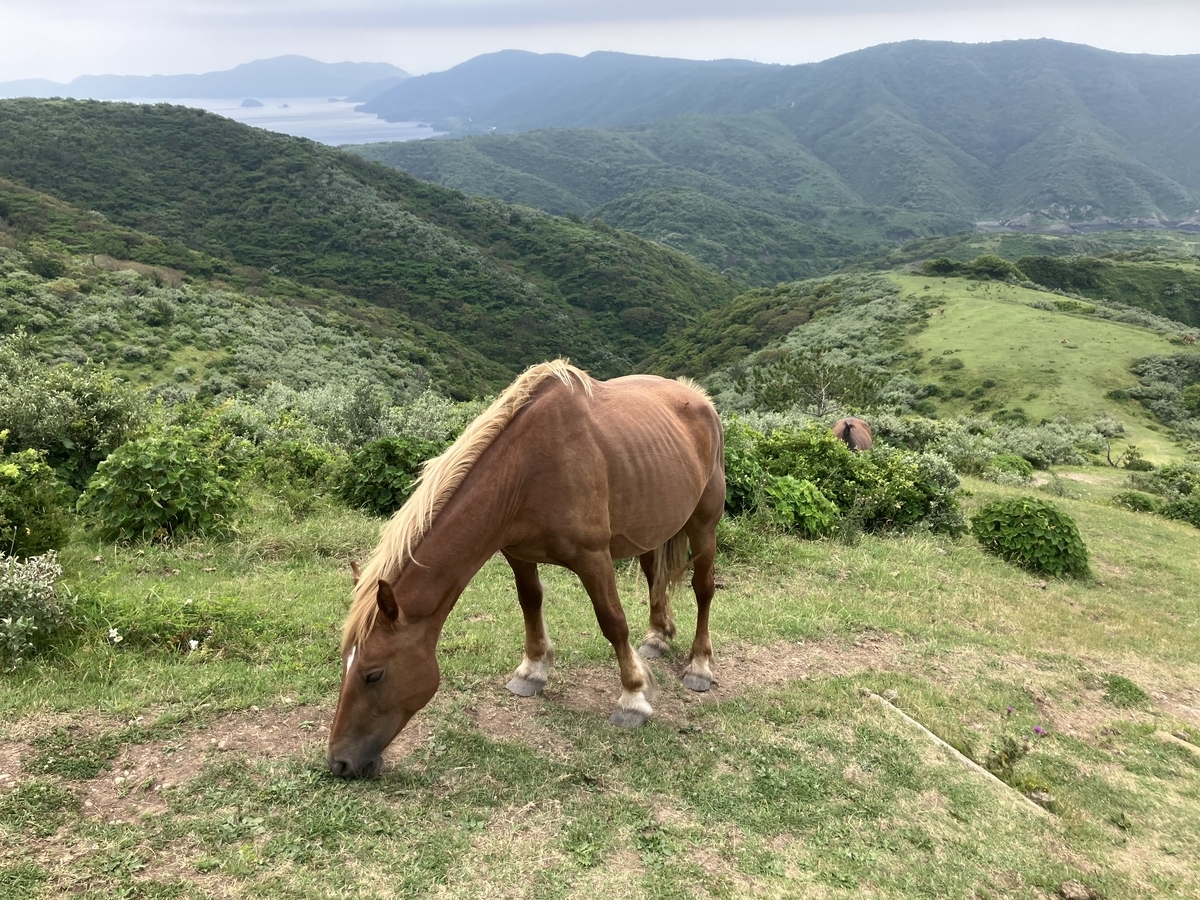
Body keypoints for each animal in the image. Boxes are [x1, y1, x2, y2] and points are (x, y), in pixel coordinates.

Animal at [328, 361, 726, 779]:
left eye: (373, 674)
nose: (339, 762)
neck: (529, 468)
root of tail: (699, 397)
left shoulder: (593, 557)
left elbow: (612, 621)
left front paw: (633, 697)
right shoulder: (517, 553)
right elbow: (530, 602)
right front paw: (531, 671)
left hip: (704, 524)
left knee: (703, 588)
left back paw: (700, 666)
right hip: (652, 526)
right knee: (654, 577)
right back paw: (657, 637)